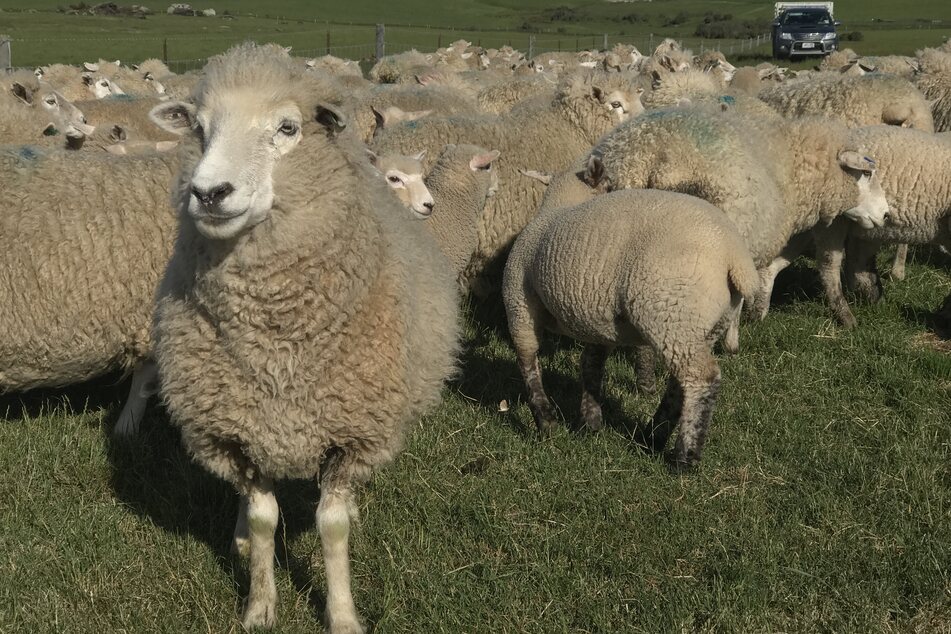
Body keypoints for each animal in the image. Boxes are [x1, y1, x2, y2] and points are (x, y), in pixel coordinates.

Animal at [149, 42, 462, 628]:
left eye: (287, 128)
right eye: (199, 129)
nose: (208, 192)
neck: (277, 347)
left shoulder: (353, 435)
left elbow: (330, 527)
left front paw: (342, 615)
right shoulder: (238, 432)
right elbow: (264, 519)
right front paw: (259, 604)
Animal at [506, 168, 760, 470]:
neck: (557, 205)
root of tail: (735, 256)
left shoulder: (519, 304)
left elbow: (529, 364)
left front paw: (546, 421)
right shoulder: (596, 319)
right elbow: (590, 365)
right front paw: (590, 421)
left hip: (670, 312)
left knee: (701, 378)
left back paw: (684, 456)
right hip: (698, 325)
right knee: (679, 383)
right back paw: (652, 436)